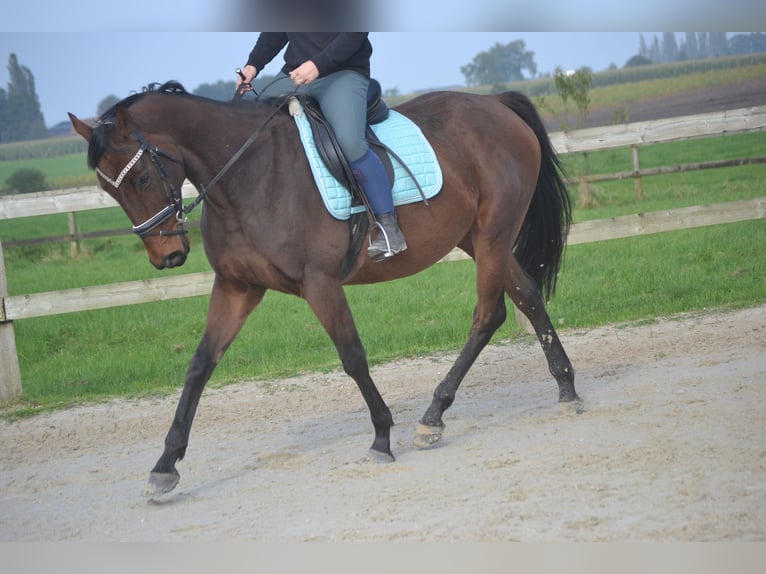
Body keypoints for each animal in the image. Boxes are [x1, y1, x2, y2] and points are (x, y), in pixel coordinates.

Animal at [69, 82, 584, 500]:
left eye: (142, 177)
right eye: (109, 190)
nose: (168, 256)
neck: (248, 174)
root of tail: (496, 104)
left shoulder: (319, 283)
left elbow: (352, 357)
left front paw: (381, 437)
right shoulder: (237, 287)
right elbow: (199, 366)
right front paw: (165, 466)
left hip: (493, 233)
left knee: (488, 314)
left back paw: (433, 416)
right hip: (476, 238)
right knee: (527, 297)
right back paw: (566, 389)